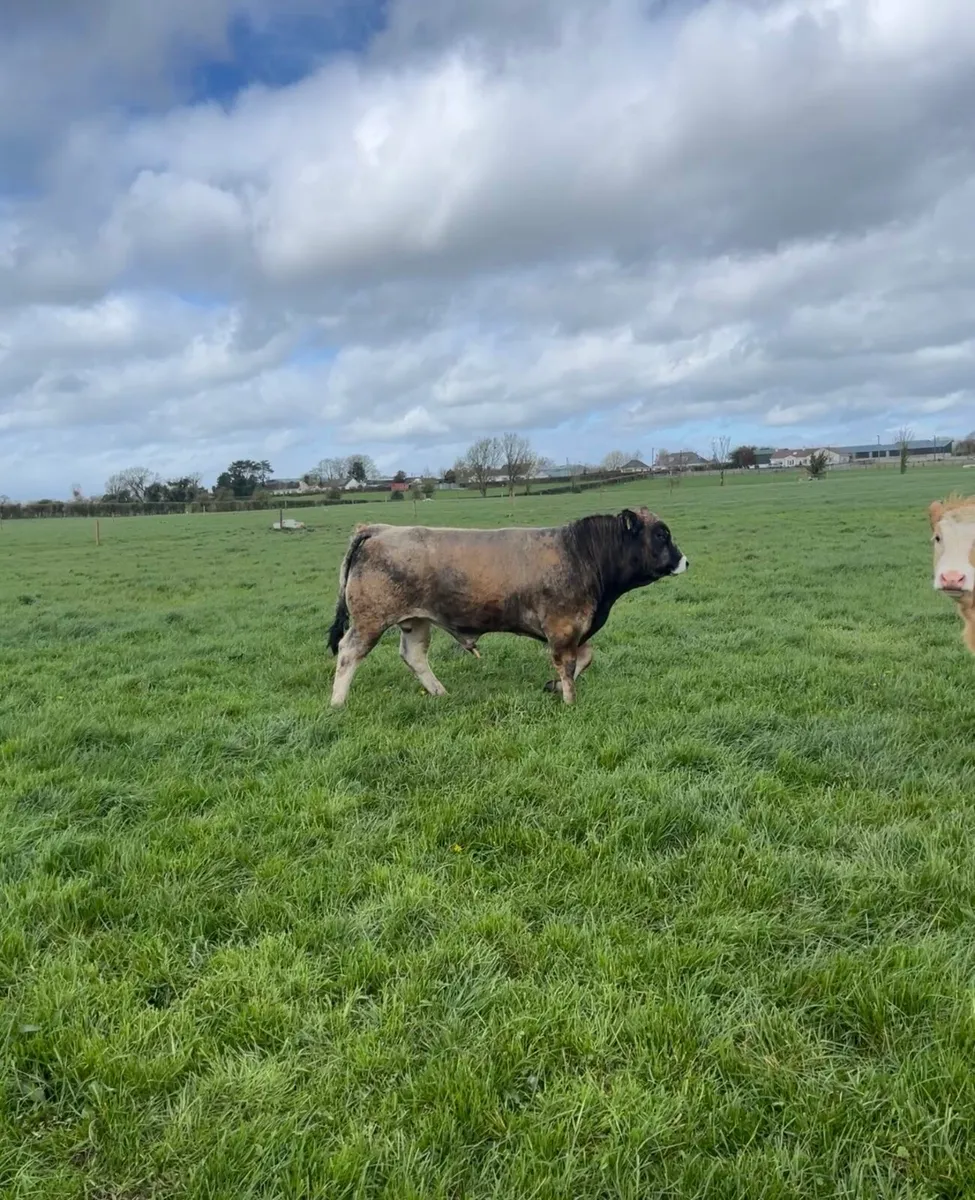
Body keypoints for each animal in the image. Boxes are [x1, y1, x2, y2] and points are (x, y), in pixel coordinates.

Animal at [326, 505, 688, 706]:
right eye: (661, 534)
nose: (685, 561)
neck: (582, 554)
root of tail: (379, 529)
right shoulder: (563, 627)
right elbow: (568, 664)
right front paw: (569, 700)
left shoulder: (573, 631)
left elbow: (585, 657)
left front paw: (554, 687)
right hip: (371, 620)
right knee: (348, 653)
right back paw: (337, 703)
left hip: (415, 620)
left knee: (414, 656)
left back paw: (440, 693)